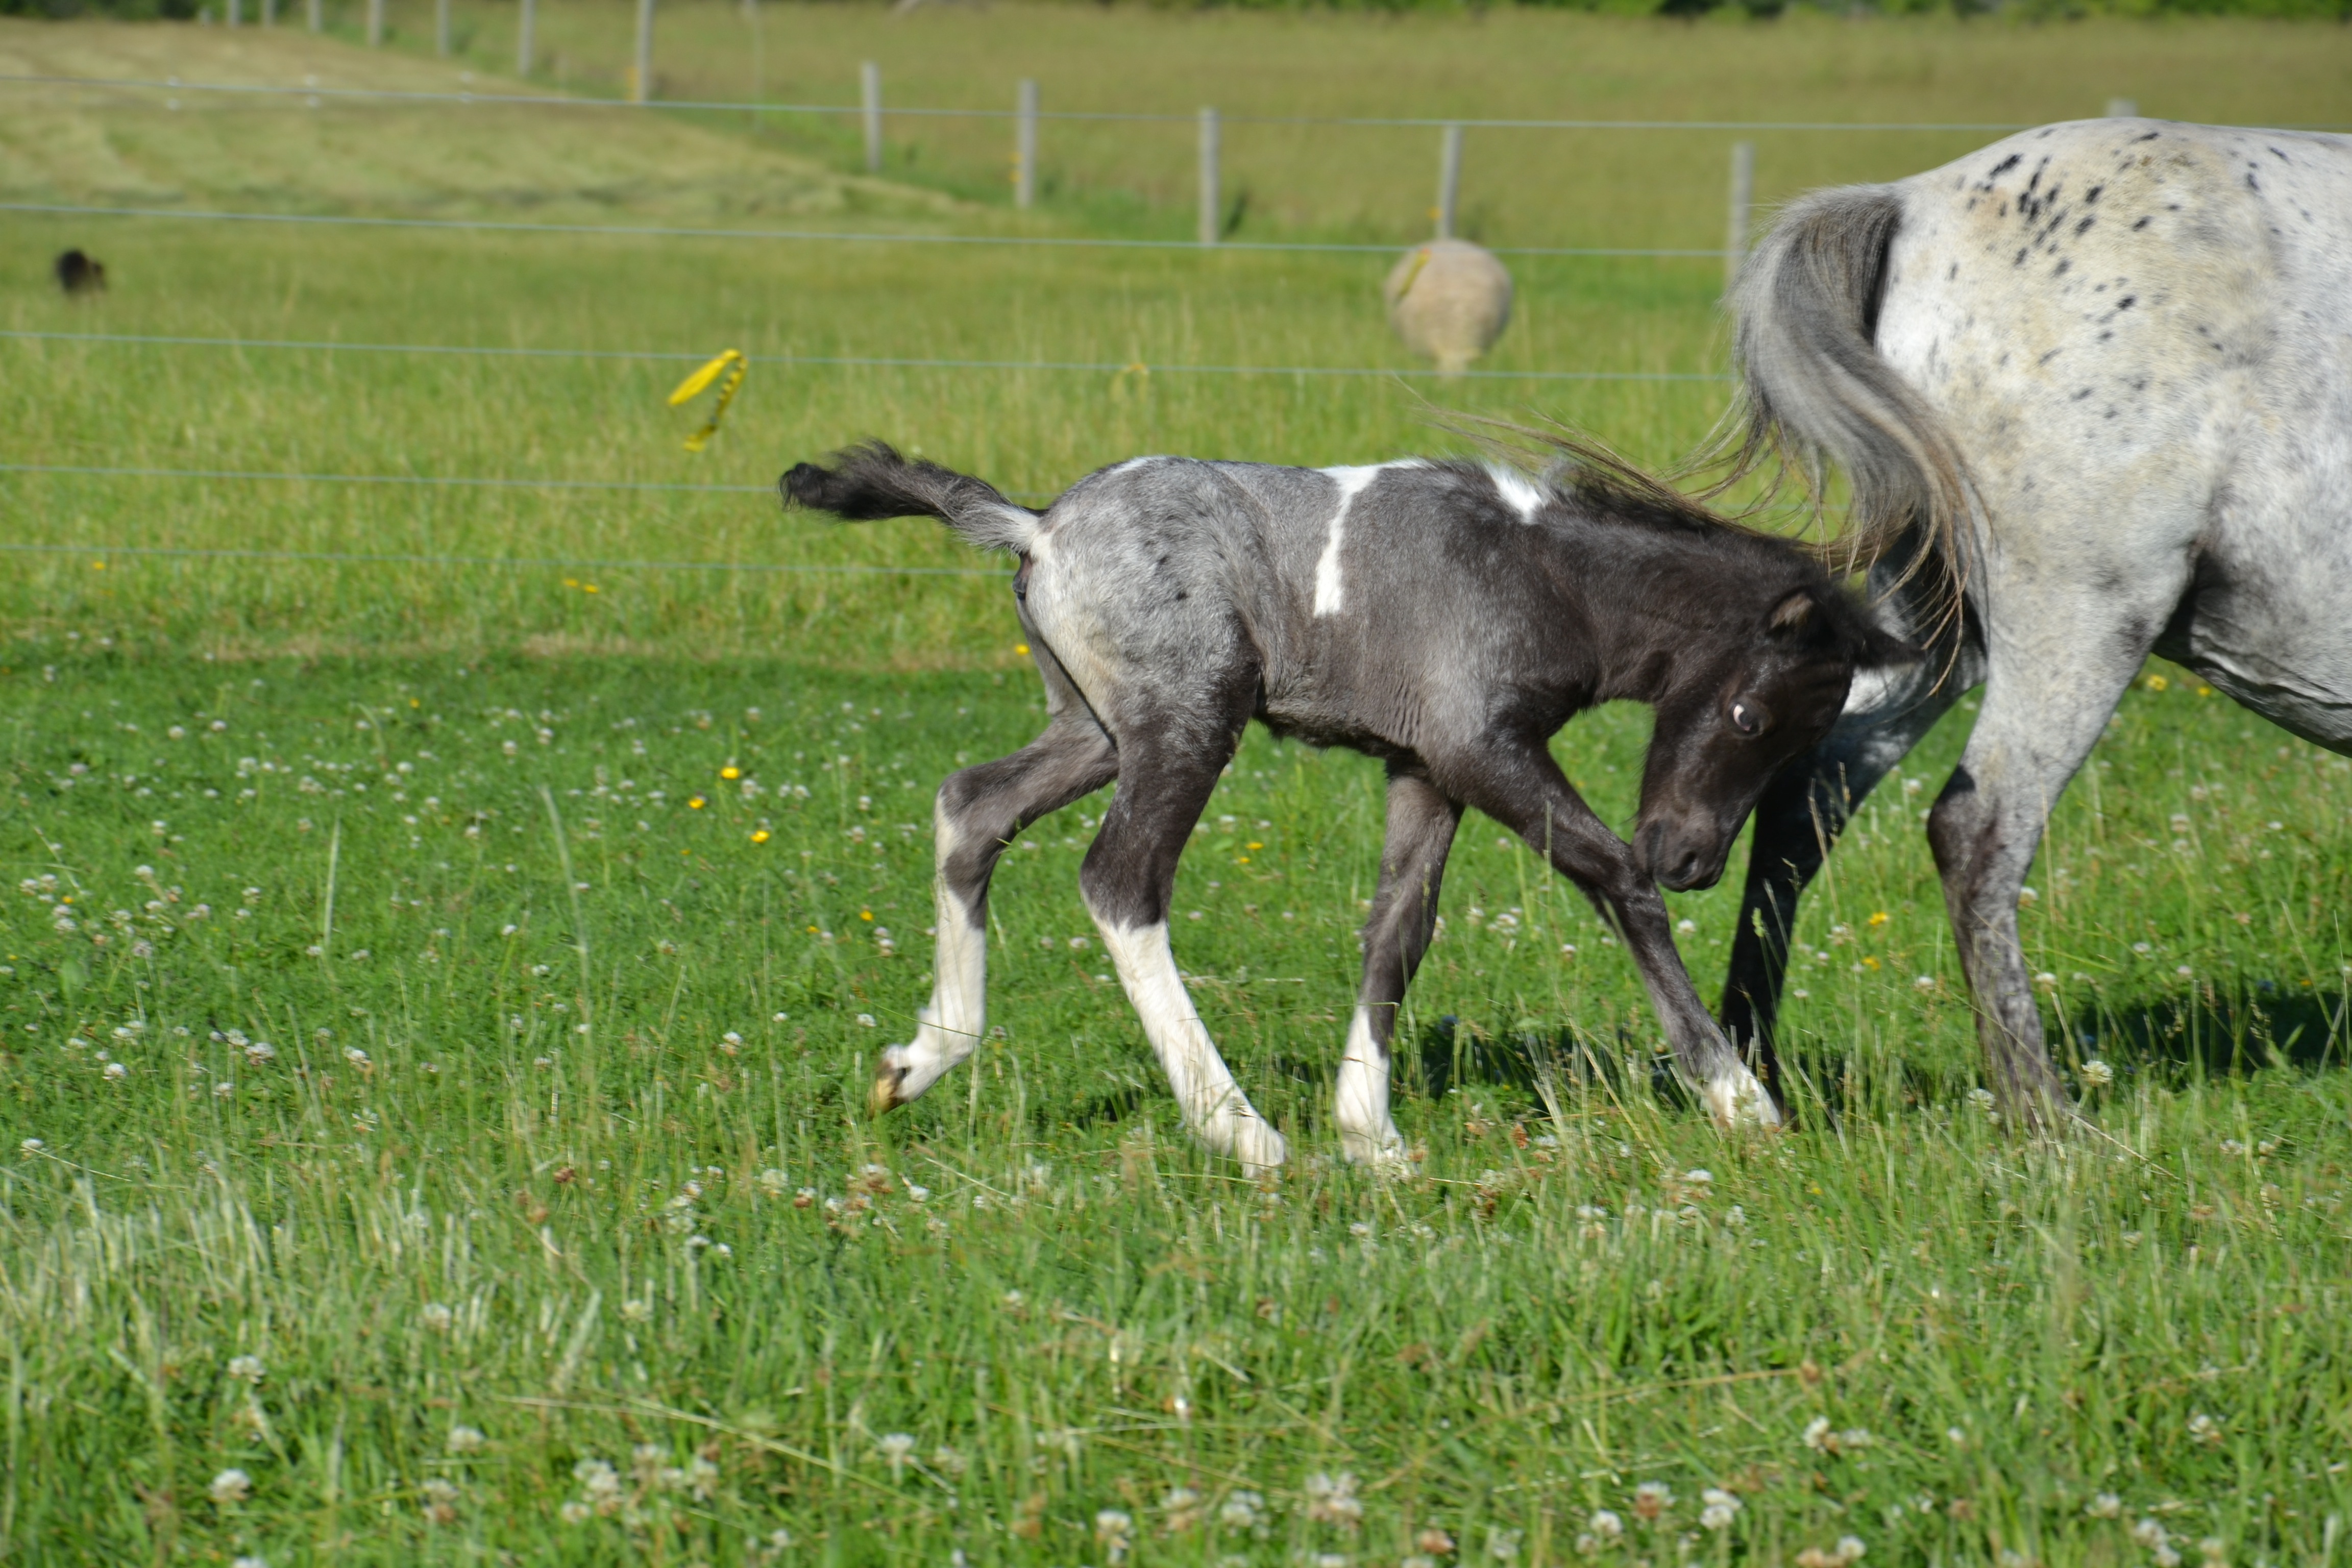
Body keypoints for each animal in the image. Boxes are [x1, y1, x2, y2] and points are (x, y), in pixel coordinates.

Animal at [790, 435, 1909, 1170]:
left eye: (1807, 739)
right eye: (1751, 715)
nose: (1695, 860)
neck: (1542, 573)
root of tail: (1039, 527)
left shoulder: (1425, 768)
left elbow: (1399, 931)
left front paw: (1371, 1133)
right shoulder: (1481, 747)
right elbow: (1611, 879)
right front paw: (1740, 1098)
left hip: (1092, 732)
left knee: (971, 807)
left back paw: (921, 1058)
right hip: (1187, 722)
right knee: (1120, 883)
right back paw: (1238, 1129)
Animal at [1712, 122, 2352, 1123]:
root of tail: (1912, 200)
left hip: (1935, 633)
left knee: (1805, 798)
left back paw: (1753, 1064)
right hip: (2079, 621)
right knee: (1975, 829)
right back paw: (2041, 1111)